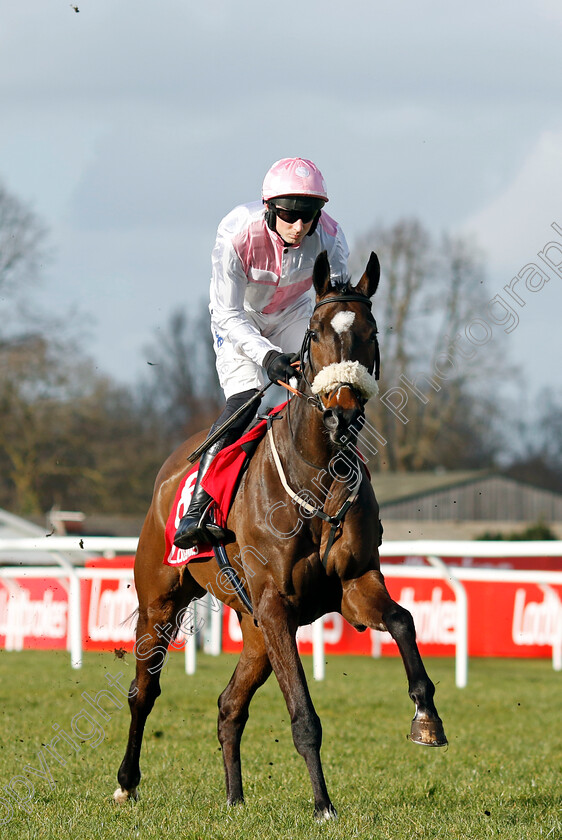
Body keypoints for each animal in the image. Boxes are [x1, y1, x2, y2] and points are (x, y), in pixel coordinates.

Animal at [114, 249, 446, 820]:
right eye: (314, 333)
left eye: (371, 332)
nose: (342, 413)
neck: (317, 479)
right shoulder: (275, 605)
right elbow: (304, 715)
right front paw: (323, 804)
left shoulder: (352, 584)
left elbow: (403, 620)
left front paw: (427, 716)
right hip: (162, 600)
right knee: (144, 692)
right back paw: (127, 782)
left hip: (252, 630)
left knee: (229, 705)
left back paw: (234, 797)